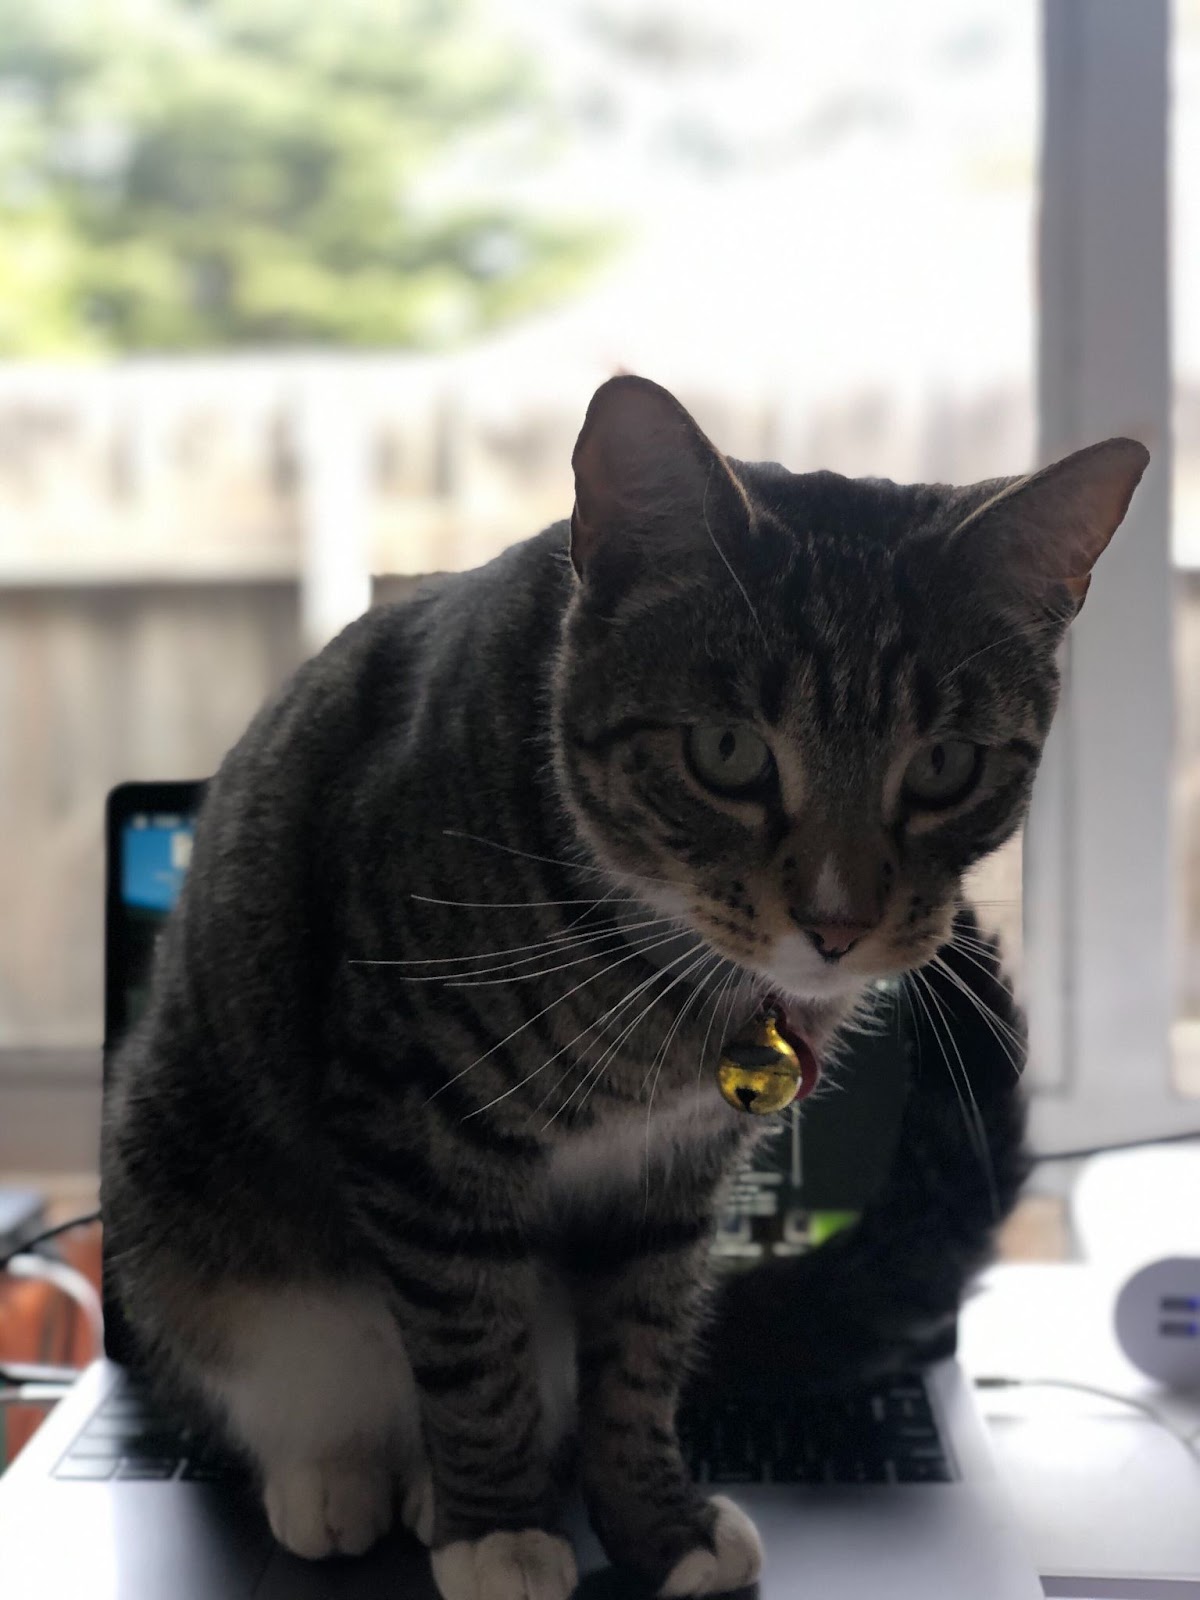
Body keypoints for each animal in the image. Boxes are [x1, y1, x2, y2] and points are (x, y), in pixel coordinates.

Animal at [103, 377, 1145, 1600]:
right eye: (729, 751)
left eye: (945, 765)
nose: (837, 925)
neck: (676, 999)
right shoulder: (413, 1117)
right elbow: (472, 1341)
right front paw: (499, 1527)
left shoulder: (675, 1173)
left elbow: (641, 1353)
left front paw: (656, 1520)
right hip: (191, 1217)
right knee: (278, 1375)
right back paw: (345, 1475)